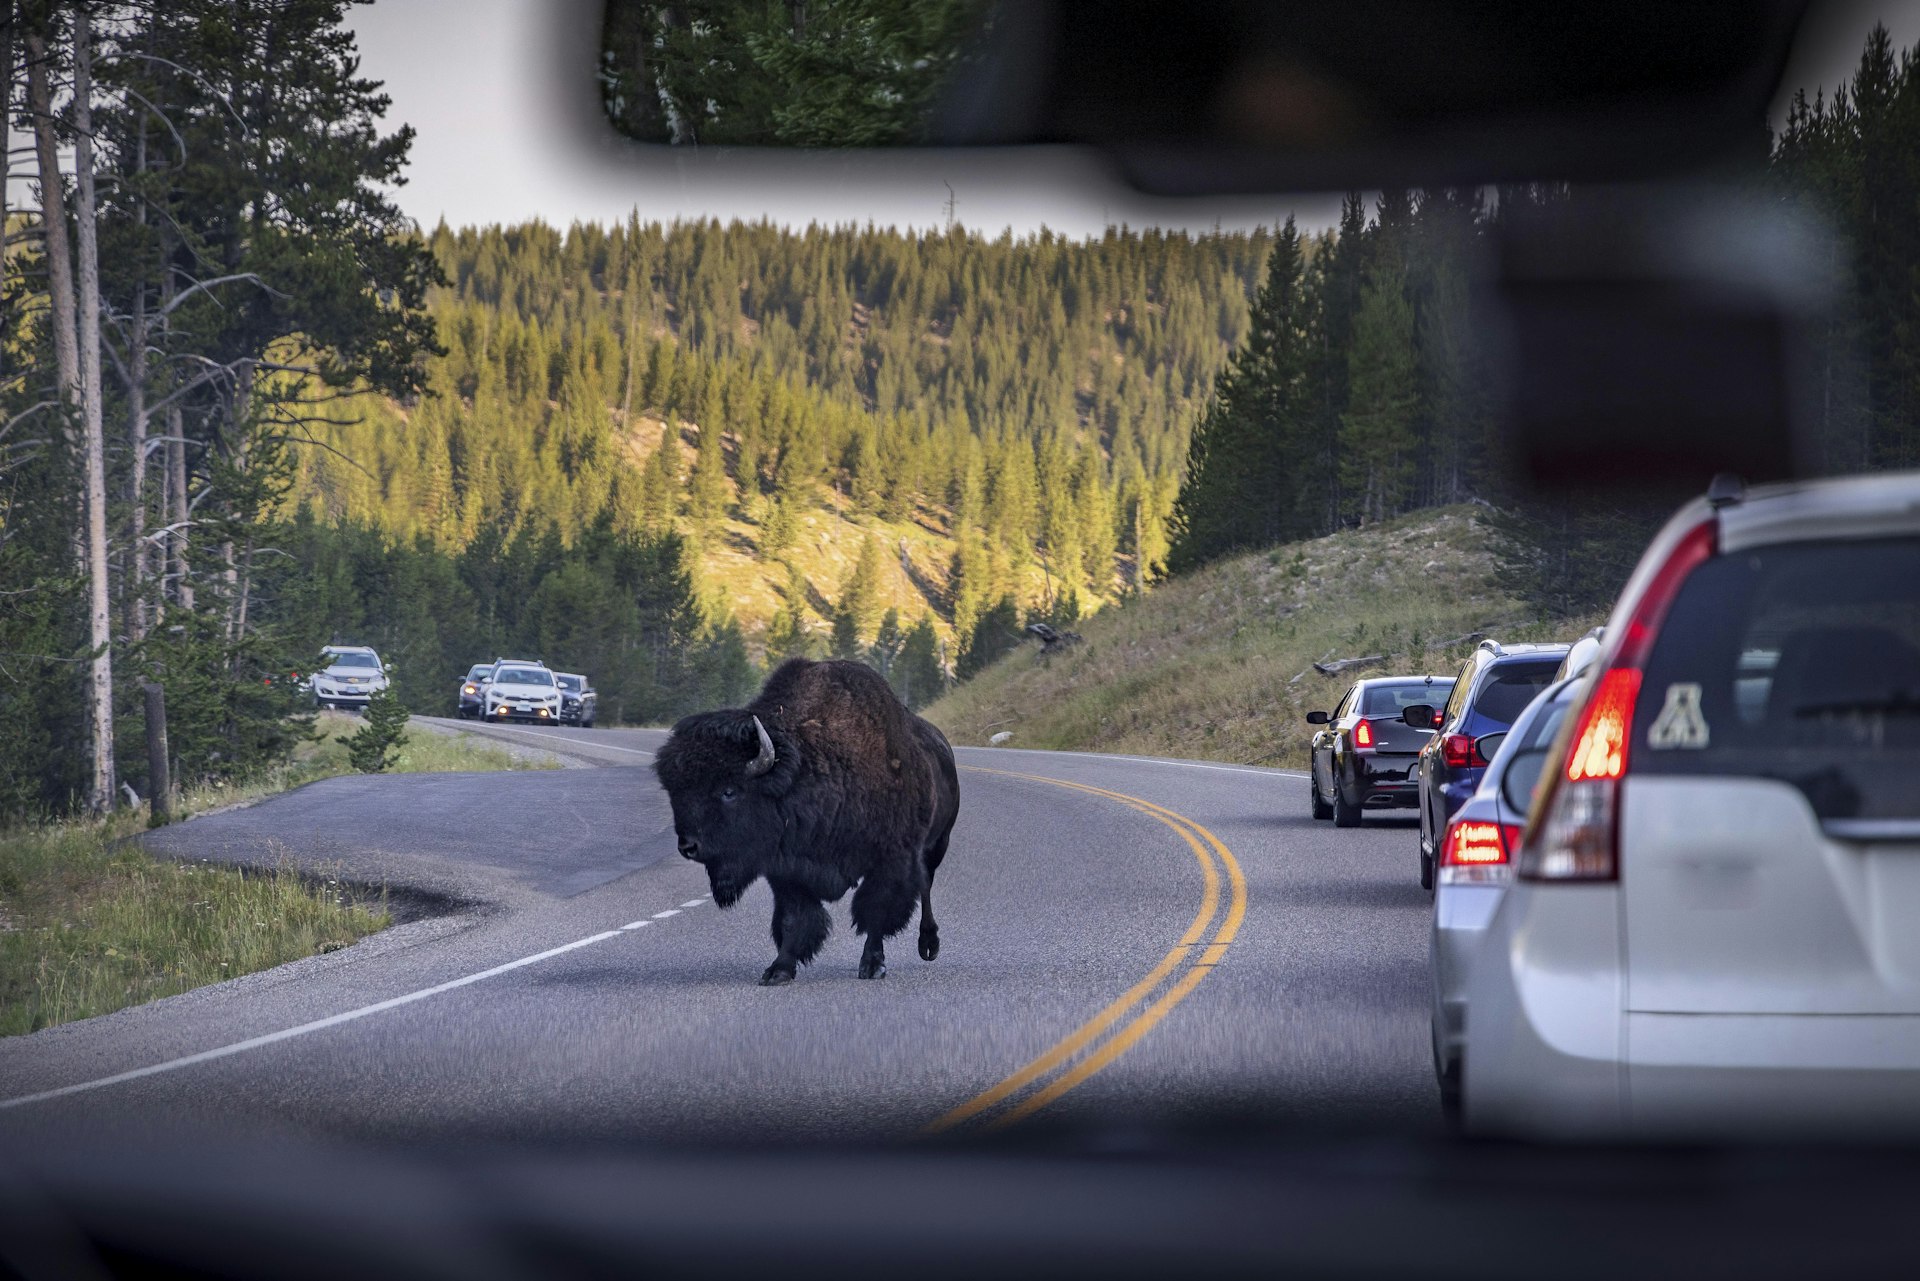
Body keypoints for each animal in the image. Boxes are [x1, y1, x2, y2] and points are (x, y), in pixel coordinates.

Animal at [652, 656, 960, 990]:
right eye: (676, 792)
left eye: (729, 791)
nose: (688, 846)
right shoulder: (787, 870)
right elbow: (794, 920)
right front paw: (779, 971)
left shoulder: (891, 861)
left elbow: (876, 910)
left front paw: (872, 965)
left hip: (936, 845)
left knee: (925, 886)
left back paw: (929, 945)